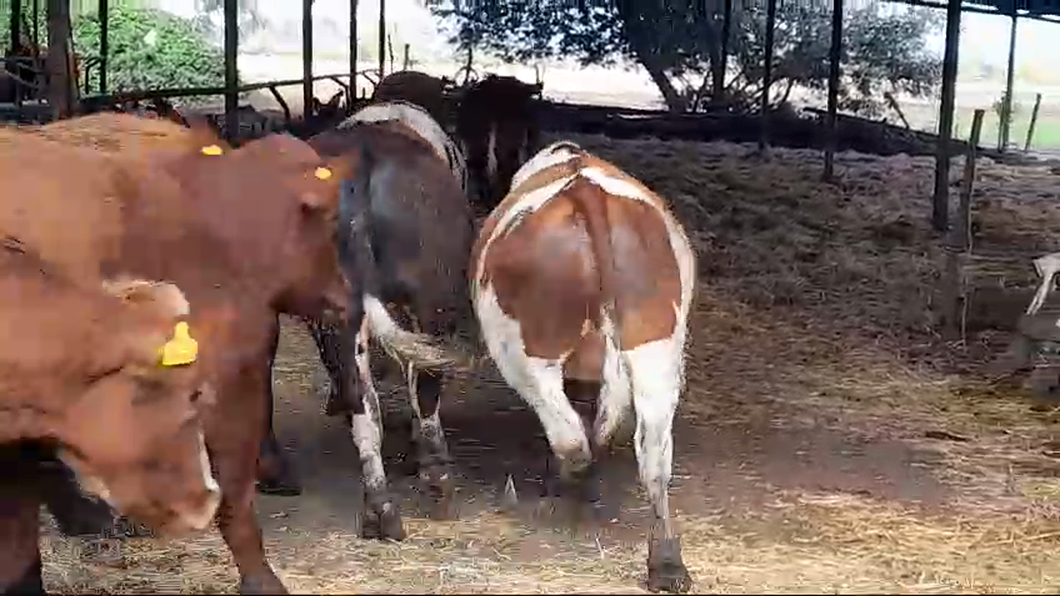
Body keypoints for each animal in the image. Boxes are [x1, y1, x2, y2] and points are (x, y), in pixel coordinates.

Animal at [468, 137, 699, 589]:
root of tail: (584, 190)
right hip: (656, 348)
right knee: (653, 454)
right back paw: (666, 562)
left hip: (525, 353)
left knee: (571, 438)